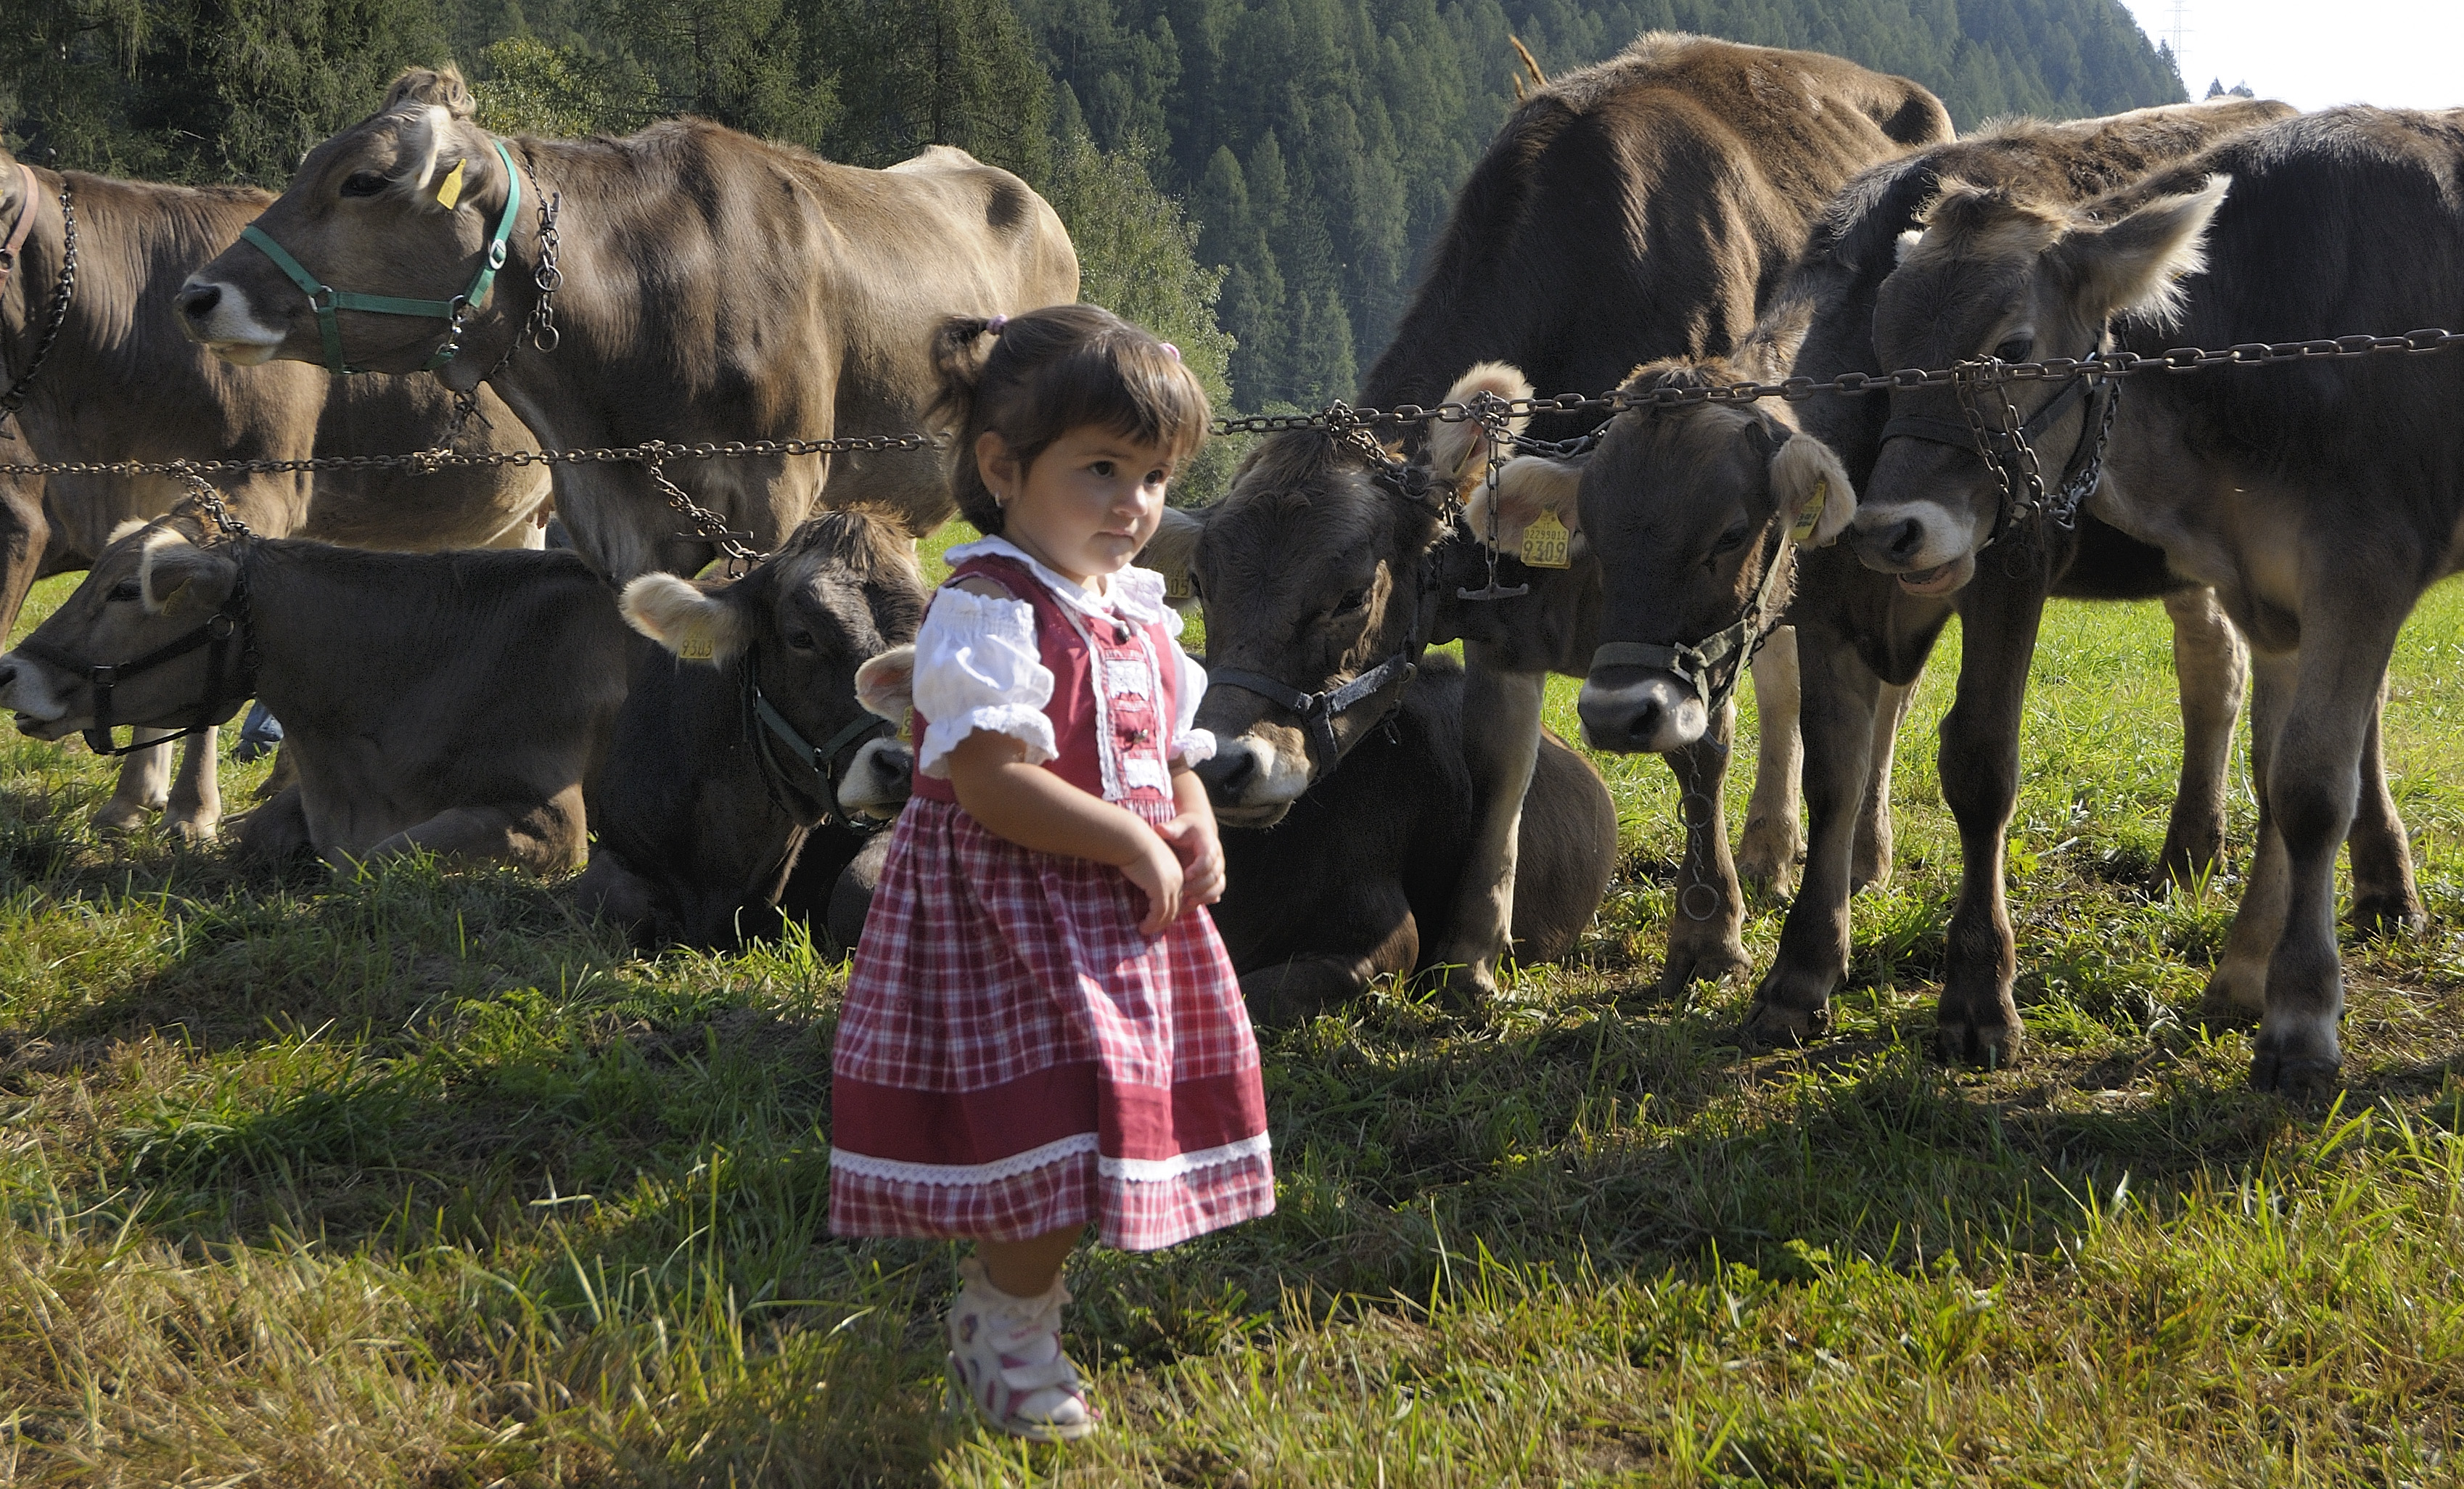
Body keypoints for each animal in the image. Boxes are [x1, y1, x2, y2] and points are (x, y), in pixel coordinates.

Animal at [1162, 34, 1951, 1006]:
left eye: (1349, 596)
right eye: (1205, 585)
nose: (1222, 763)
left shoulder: (1703, 585)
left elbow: (1702, 748)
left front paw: (1707, 940)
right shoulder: (1504, 610)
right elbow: (1501, 762)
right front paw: (1470, 956)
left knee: (1885, 691)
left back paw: (1864, 854)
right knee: (1787, 684)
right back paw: (1770, 850)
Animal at [1852, 102, 2464, 1080]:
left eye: (2012, 350)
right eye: (1883, 350)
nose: (1887, 530)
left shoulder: (2365, 561)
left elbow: (2310, 788)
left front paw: (2300, 1019)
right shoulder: (2270, 588)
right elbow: (2276, 775)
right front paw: (2245, 976)